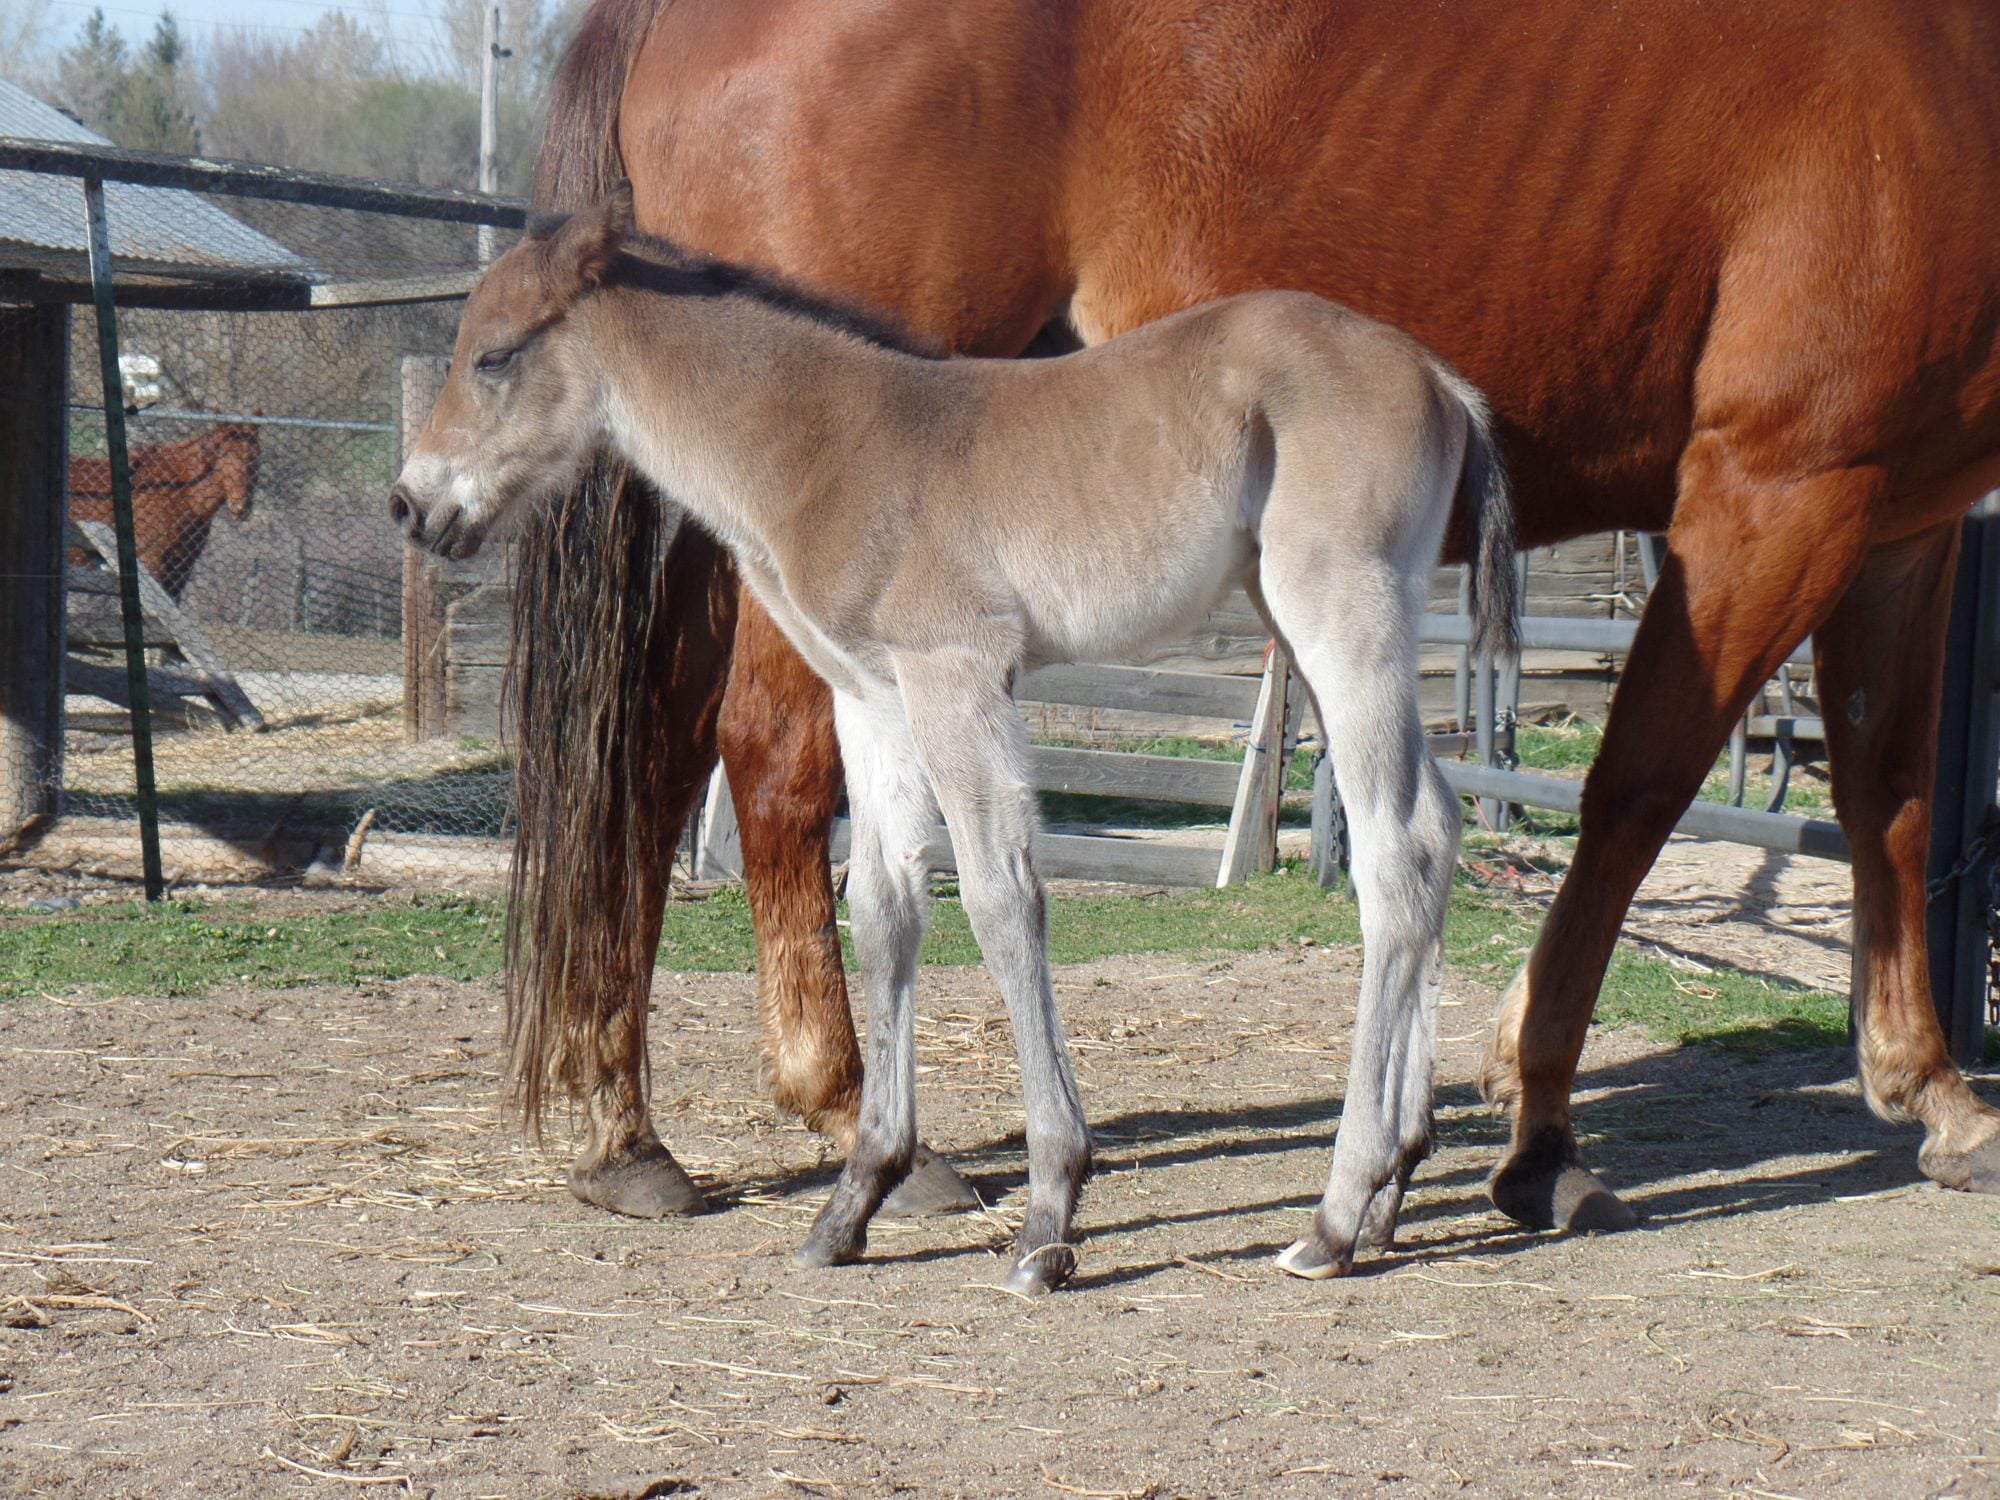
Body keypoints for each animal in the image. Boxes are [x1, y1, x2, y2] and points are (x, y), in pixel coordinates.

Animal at [69, 422, 260, 601]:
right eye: (224, 454)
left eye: (255, 456)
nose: (241, 507)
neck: (182, 492)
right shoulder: (150, 564)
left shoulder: (179, 573)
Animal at [392, 183, 1519, 1287]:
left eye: (493, 356)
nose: (410, 504)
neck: (822, 446)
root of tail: (1438, 377)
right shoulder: (870, 696)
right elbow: (885, 910)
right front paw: (855, 1201)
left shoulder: (954, 673)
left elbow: (998, 897)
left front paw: (1049, 1213)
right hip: (1320, 627)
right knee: (1436, 828)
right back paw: (1390, 1192)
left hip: (1336, 617)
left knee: (1394, 852)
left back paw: (1334, 1216)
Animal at [510, 0, 2000, 1241]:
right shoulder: (1779, 485)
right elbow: (1636, 795)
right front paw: (1535, 1127)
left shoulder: (1902, 521)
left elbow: (1889, 794)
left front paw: (1933, 1091)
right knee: (768, 758)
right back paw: (849, 1121)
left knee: (649, 760)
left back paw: (626, 1127)